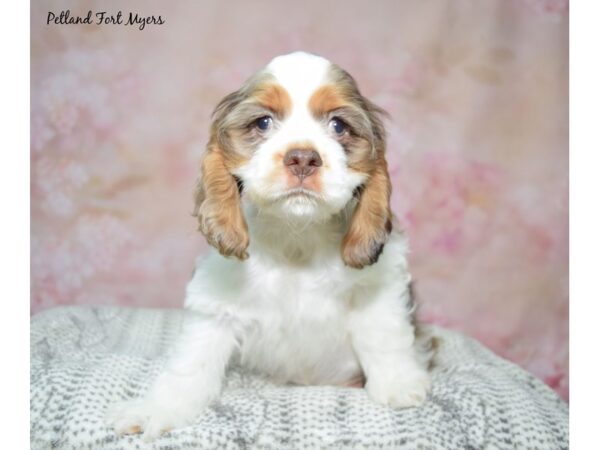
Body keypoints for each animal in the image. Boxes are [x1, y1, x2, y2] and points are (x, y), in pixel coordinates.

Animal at [108, 50, 434, 440]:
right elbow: (191, 362)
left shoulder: (379, 286)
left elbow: (385, 337)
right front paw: (158, 408)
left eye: (338, 126)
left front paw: (399, 385)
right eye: (263, 122)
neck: (297, 234)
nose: (303, 158)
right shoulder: (216, 304)